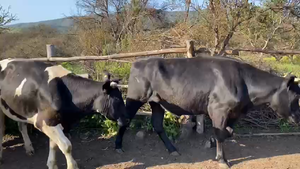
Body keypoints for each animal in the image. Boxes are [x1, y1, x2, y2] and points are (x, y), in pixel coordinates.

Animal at [114, 55, 300, 168]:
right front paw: (222, 159)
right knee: (125, 120)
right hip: (136, 97)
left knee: (157, 124)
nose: (298, 117)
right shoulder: (218, 109)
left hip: (157, 102)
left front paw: (212, 144)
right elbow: (221, 133)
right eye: (296, 96)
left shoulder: (234, 112)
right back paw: (118, 146)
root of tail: (138, 62)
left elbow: (227, 132)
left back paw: (172, 149)